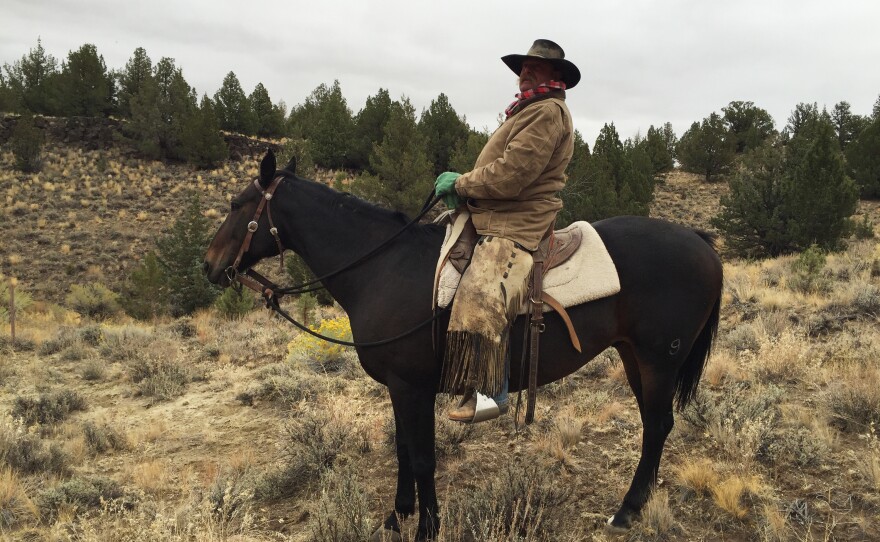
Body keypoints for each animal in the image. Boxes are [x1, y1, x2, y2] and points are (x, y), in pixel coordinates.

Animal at [205, 151, 720, 540]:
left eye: (235, 202)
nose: (209, 266)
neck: (382, 267)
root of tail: (699, 240)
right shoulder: (398, 388)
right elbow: (402, 448)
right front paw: (397, 515)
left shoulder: (412, 387)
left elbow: (422, 457)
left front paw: (426, 528)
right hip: (634, 356)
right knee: (656, 424)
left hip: (658, 360)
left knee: (657, 425)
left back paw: (627, 509)